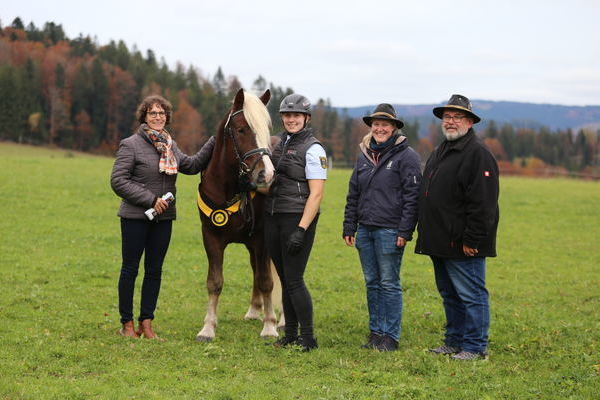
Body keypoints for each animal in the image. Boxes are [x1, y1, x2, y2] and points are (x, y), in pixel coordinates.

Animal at [196, 87, 282, 340]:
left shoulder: (262, 238)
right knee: (255, 268)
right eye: (242, 129)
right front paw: (208, 327)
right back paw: (254, 310)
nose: (267, 174)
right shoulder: (211, 237)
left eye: (266, 128)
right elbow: (214, 282)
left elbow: (266, 281)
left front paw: (270, 326)